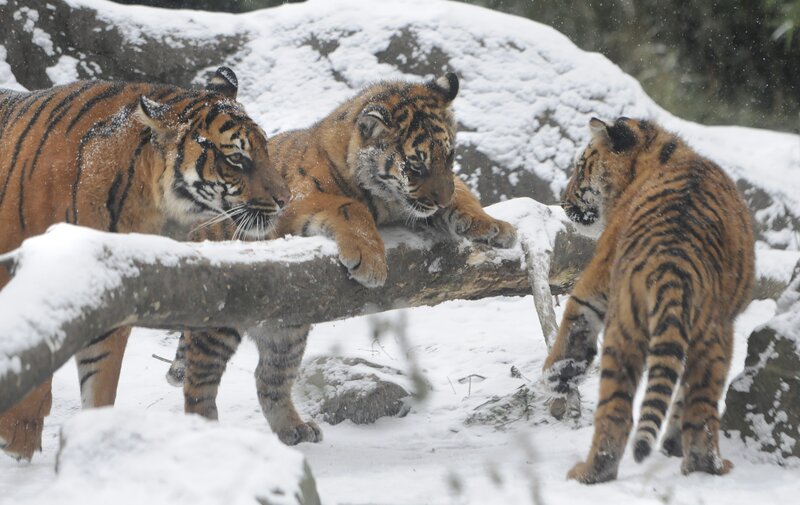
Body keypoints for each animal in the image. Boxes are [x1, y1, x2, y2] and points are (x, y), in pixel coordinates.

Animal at [167, 73, 518, 445]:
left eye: (449, 158)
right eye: (416, 165)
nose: (440, 201)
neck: (387, 200)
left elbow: (464, 193)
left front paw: (494, 226)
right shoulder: (299, 201)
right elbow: (351, 207)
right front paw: (371, 264)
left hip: (287, 333)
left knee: (269, 378)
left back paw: (294, 428)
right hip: (218, 325)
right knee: (199, 385)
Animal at [542, 117, 754, 483]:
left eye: (581, 168)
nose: (563, 201)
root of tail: (674, 264)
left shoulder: (598, 276)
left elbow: (575, 316)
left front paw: (555, 374)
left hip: (624, 332)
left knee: (617, 412)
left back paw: (590, 472)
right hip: (714, 339)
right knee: (701, 412)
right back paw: (708, 466)